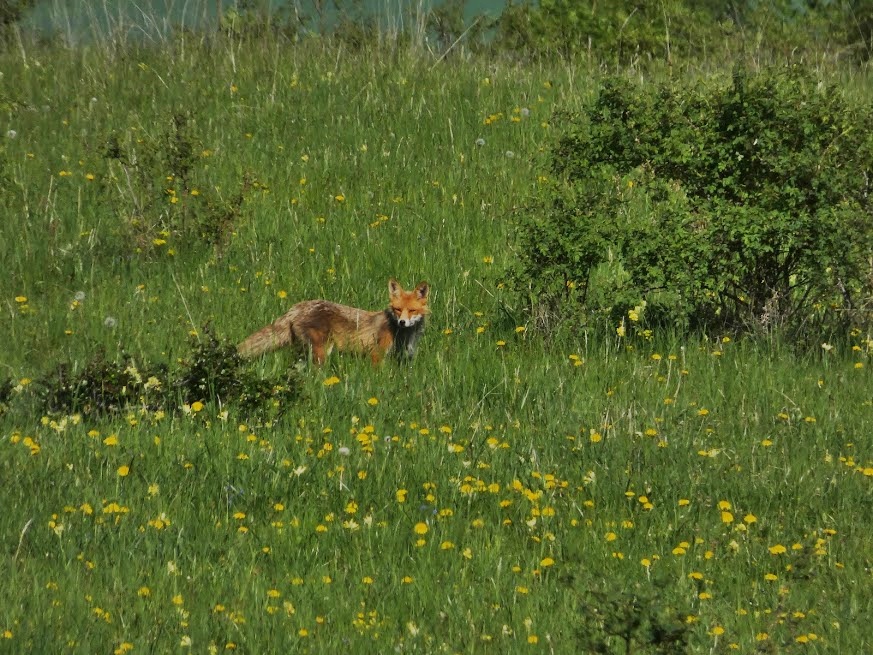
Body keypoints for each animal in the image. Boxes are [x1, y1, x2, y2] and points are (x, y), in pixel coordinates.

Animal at [238, 280, 430, 366]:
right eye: (397, 309)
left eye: (412, 310)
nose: (402, 322)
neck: (403, 336)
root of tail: (296, 307)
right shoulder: (377, 355)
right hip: (322, 352)